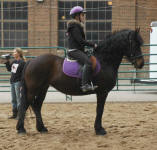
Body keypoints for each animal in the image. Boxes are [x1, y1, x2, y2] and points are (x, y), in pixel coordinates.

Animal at [16, 28, 144, 135]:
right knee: (26, 105)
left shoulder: (101, 92)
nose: (141, 63)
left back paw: (41, 128)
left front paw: (98, 128)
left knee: (37, 106)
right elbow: (100, 110)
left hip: (43, 88)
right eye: (134, 44)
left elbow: (99, 110)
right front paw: (99, 129)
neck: (104, 60)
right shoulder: (102, 92)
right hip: (33, 89)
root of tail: (31, 61)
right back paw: (21, 129)